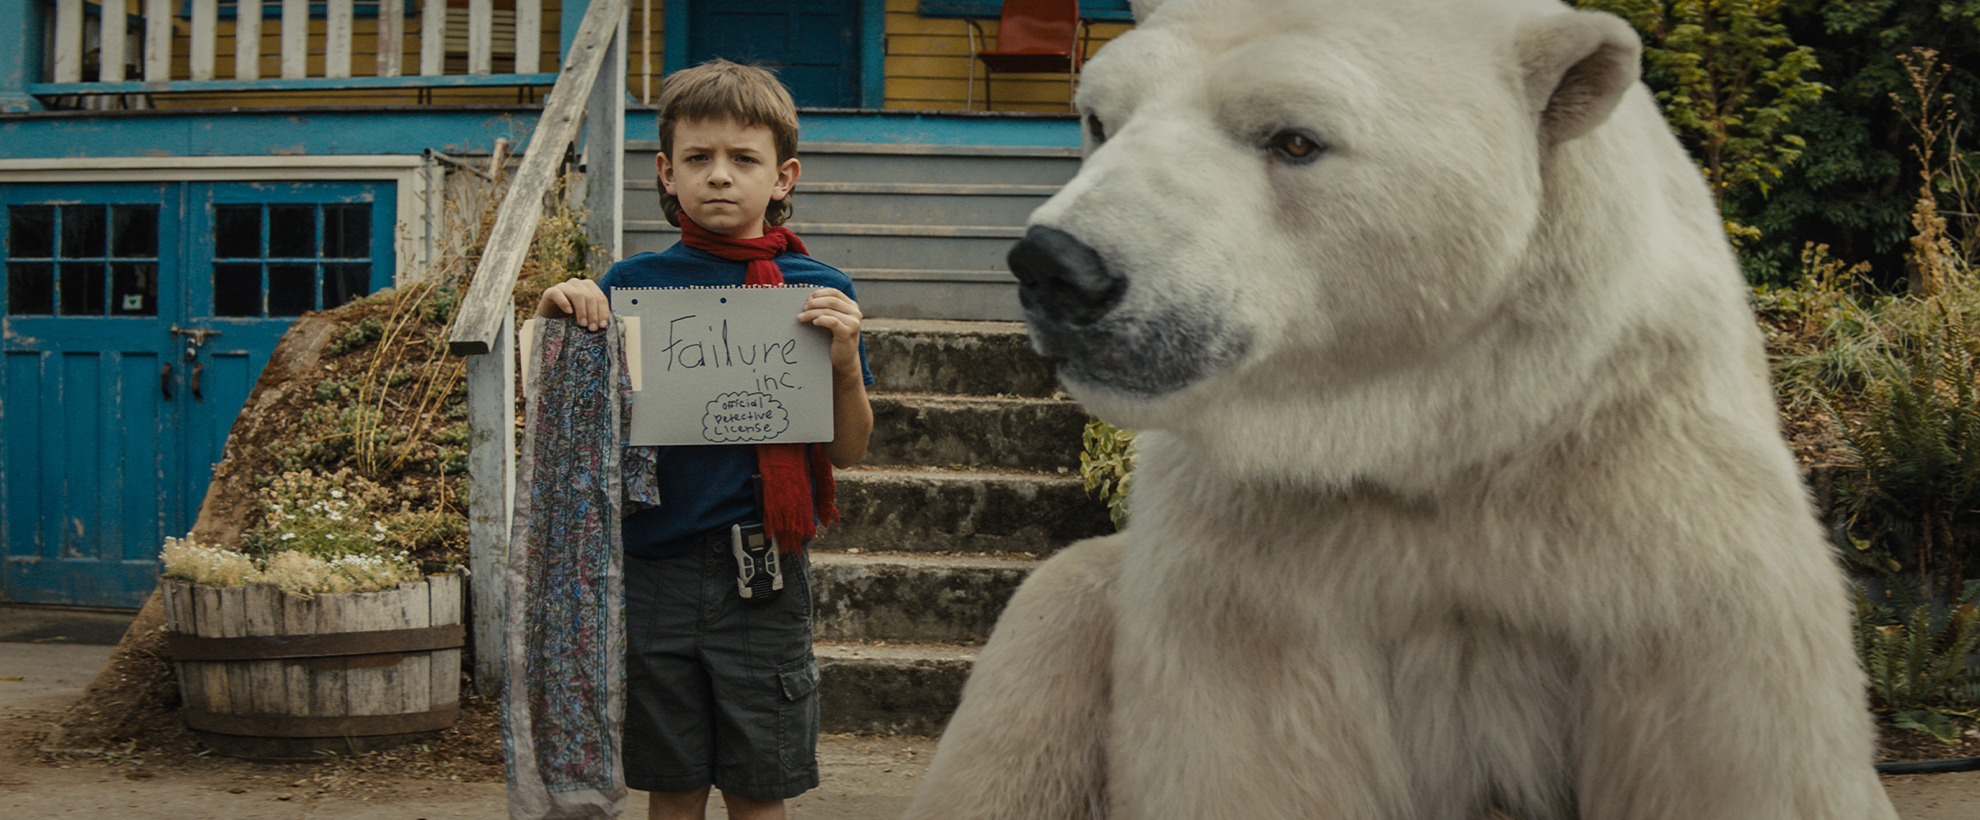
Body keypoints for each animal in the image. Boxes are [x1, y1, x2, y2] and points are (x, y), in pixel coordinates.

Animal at [902, 1, 1900, 820]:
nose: (1059, 268)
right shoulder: (1251, 552)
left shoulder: (1657, 509)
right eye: (1099, 119)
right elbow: (1254, 745)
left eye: (1294, 139)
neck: (1434, 429)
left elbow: (1726, 749)